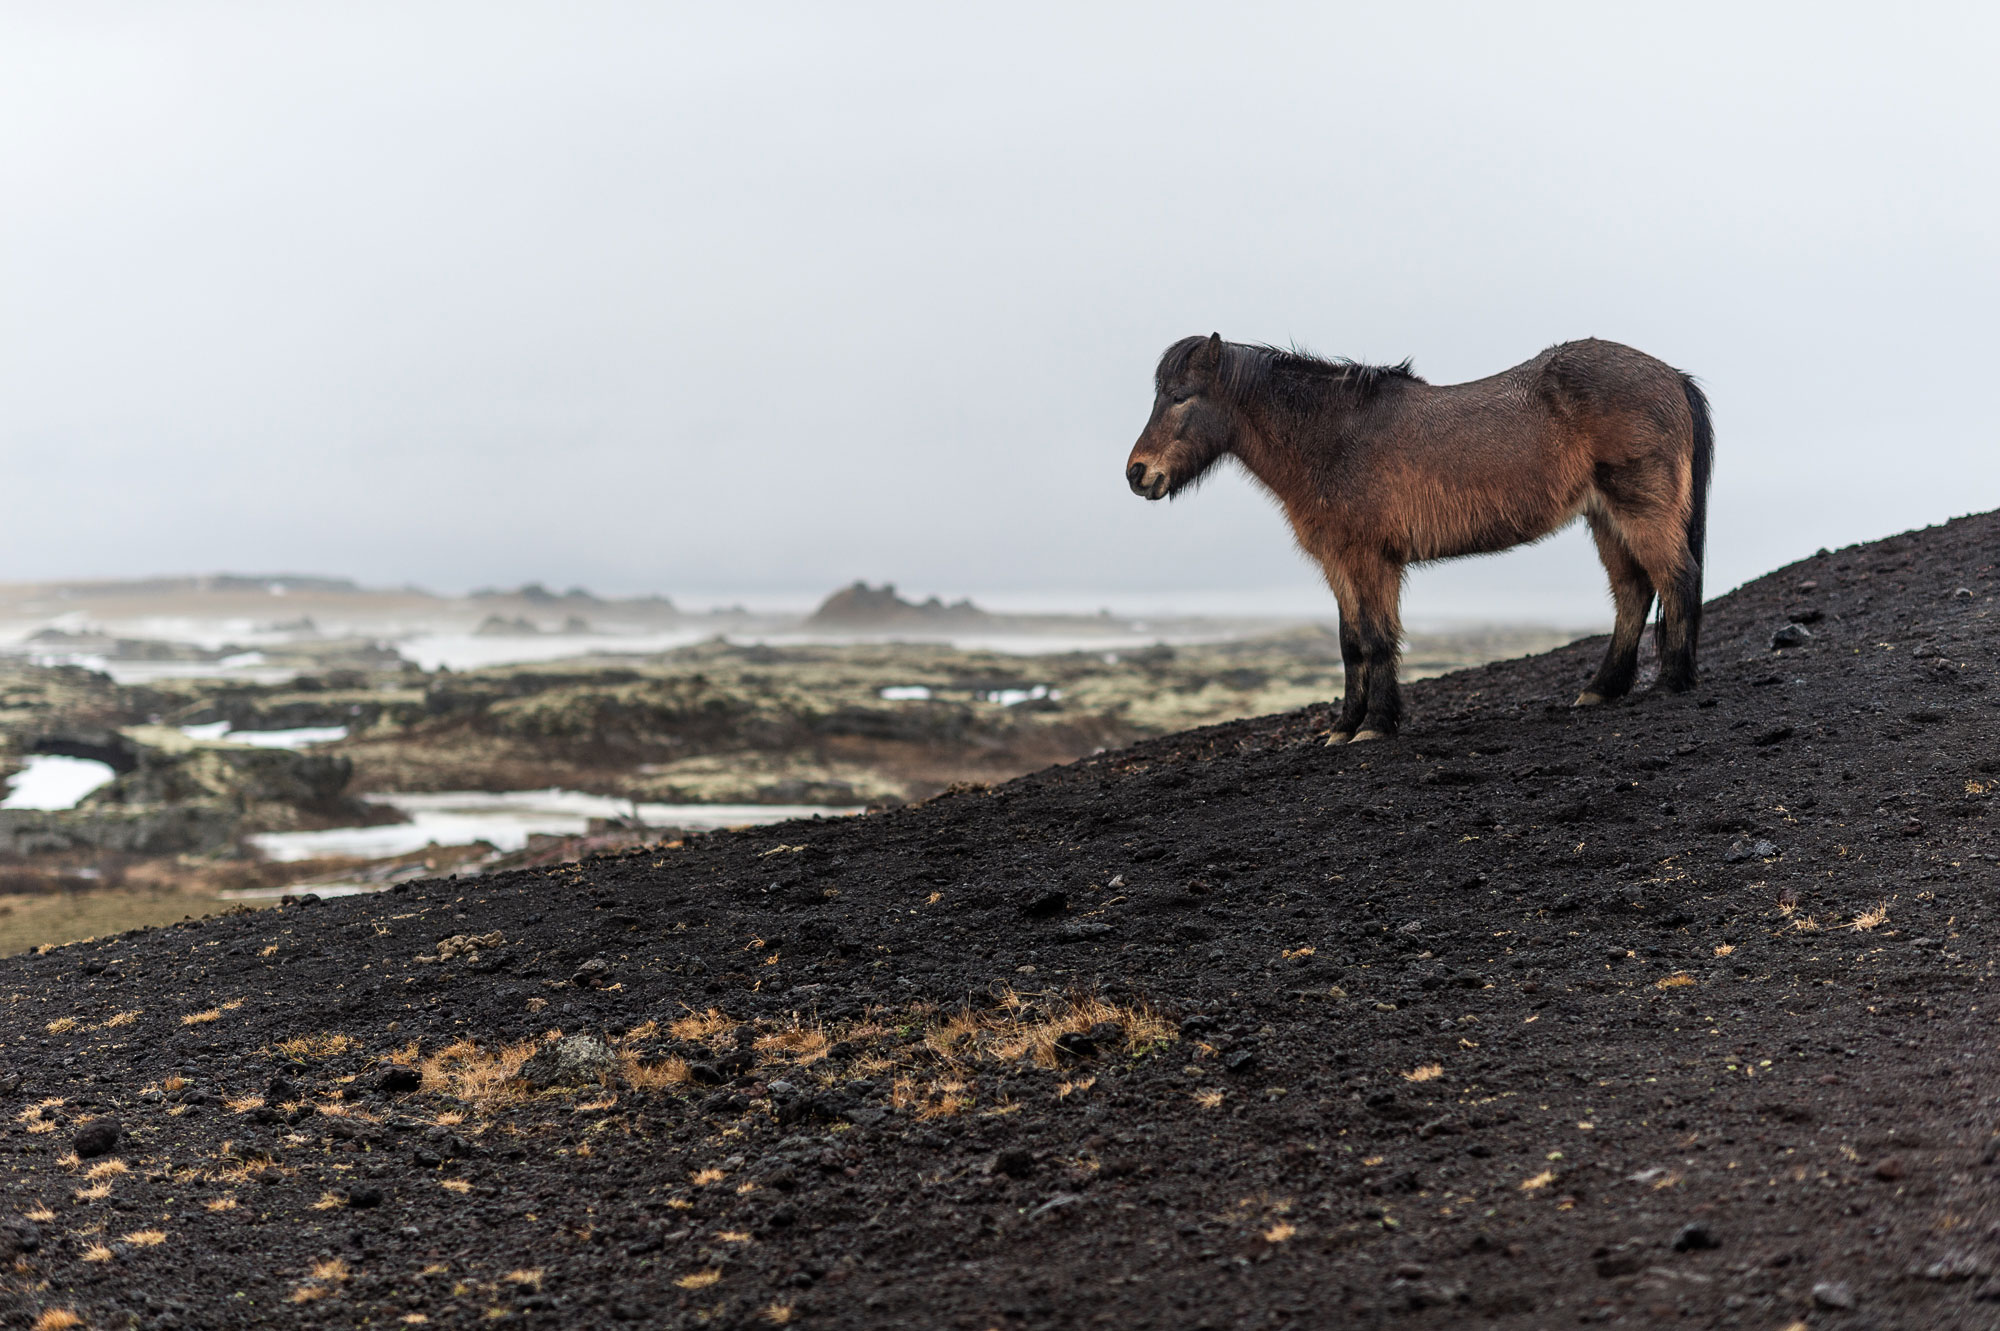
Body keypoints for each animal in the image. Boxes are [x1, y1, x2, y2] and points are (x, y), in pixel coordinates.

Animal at [1124, 334, 1713, 742]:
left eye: (1180, 397)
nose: (1137, 473)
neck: (1332, 437)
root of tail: (1673, 376)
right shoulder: (1339, 562)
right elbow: (1351, 643)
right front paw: (1344, 726)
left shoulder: (1371, 560)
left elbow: (1378, 638)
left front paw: (1376, 725)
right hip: (1605, 518)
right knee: (1634, 592)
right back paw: (1600, 689)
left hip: (1639, 510)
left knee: (1676, 578)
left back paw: (1671, 682)